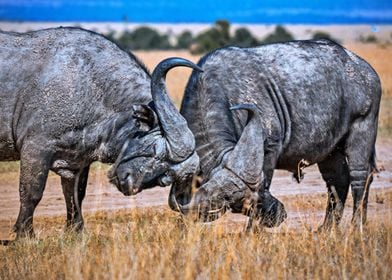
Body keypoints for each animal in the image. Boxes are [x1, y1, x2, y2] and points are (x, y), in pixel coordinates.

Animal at [0, 27, 201, 238]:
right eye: (155, 151)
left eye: (166, 176)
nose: (129, 183)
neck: (90, 86)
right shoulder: (36, 149)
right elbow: (32, 193)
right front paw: (25, 234)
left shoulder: (78, 162)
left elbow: (75, 195)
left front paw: (76, 231)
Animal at [174, 38, 380, 229]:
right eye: (238, 206)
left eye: (261, 186)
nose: (278, 214)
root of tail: (364, 68)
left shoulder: (269, 148)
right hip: (330, 150)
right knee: (338, 180)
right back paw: (327, 229)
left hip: (363, 129)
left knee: (360, 177)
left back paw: (357, 227)